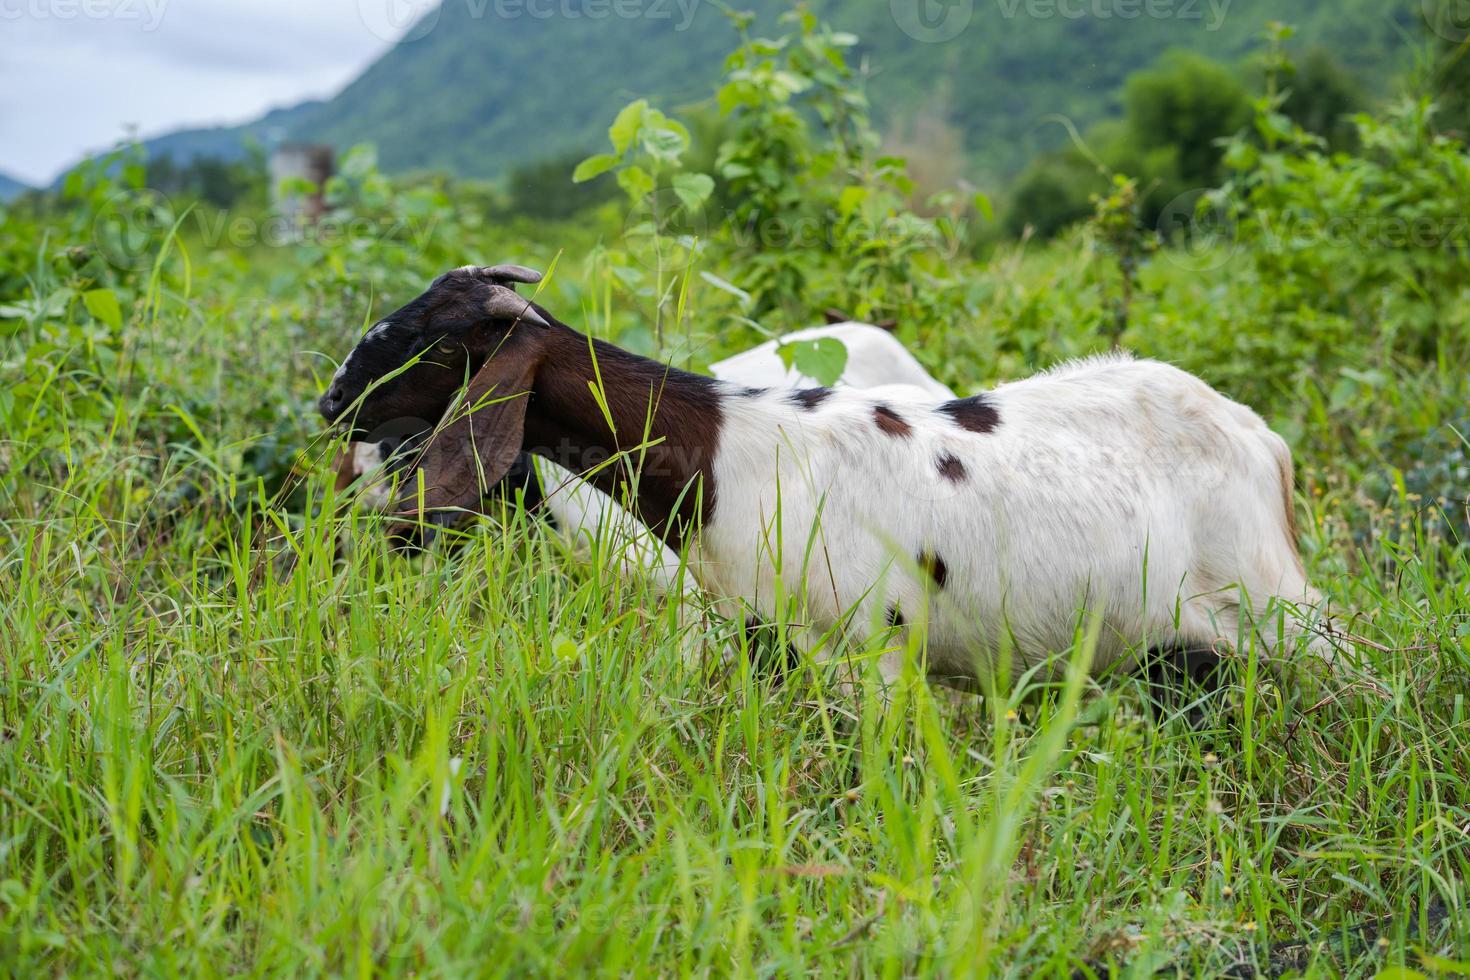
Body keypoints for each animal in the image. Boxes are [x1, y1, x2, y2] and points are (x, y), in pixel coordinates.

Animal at [318, 262, 1334, 690]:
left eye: (416, 341)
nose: (330, 404)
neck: (721, 455)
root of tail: (1260, 437)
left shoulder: (865, 651)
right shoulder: (755, 637)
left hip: (1281, 613)